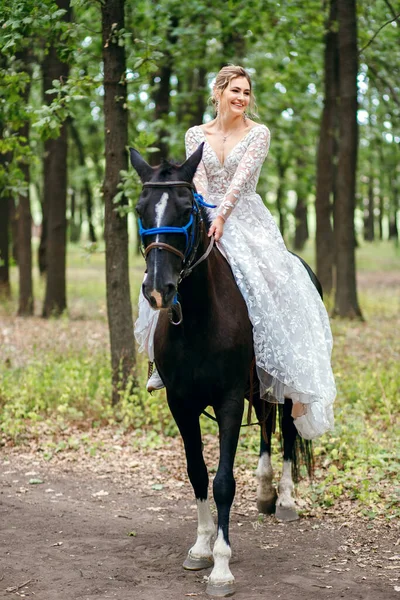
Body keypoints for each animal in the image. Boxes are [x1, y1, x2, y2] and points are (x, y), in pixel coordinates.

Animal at [131, 144, 316, 596]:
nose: (158, 289)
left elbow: (223, 482)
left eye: (186, 209)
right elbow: (197, 473)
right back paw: (265, 492)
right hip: (260, 386)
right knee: (266, 425)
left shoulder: (229, 400)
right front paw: (200, 549)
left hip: (285, 387)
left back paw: (285, 501)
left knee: (286, 432)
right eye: (141, 209)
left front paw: (221, 567)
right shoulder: (180, 403)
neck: (198, 318)